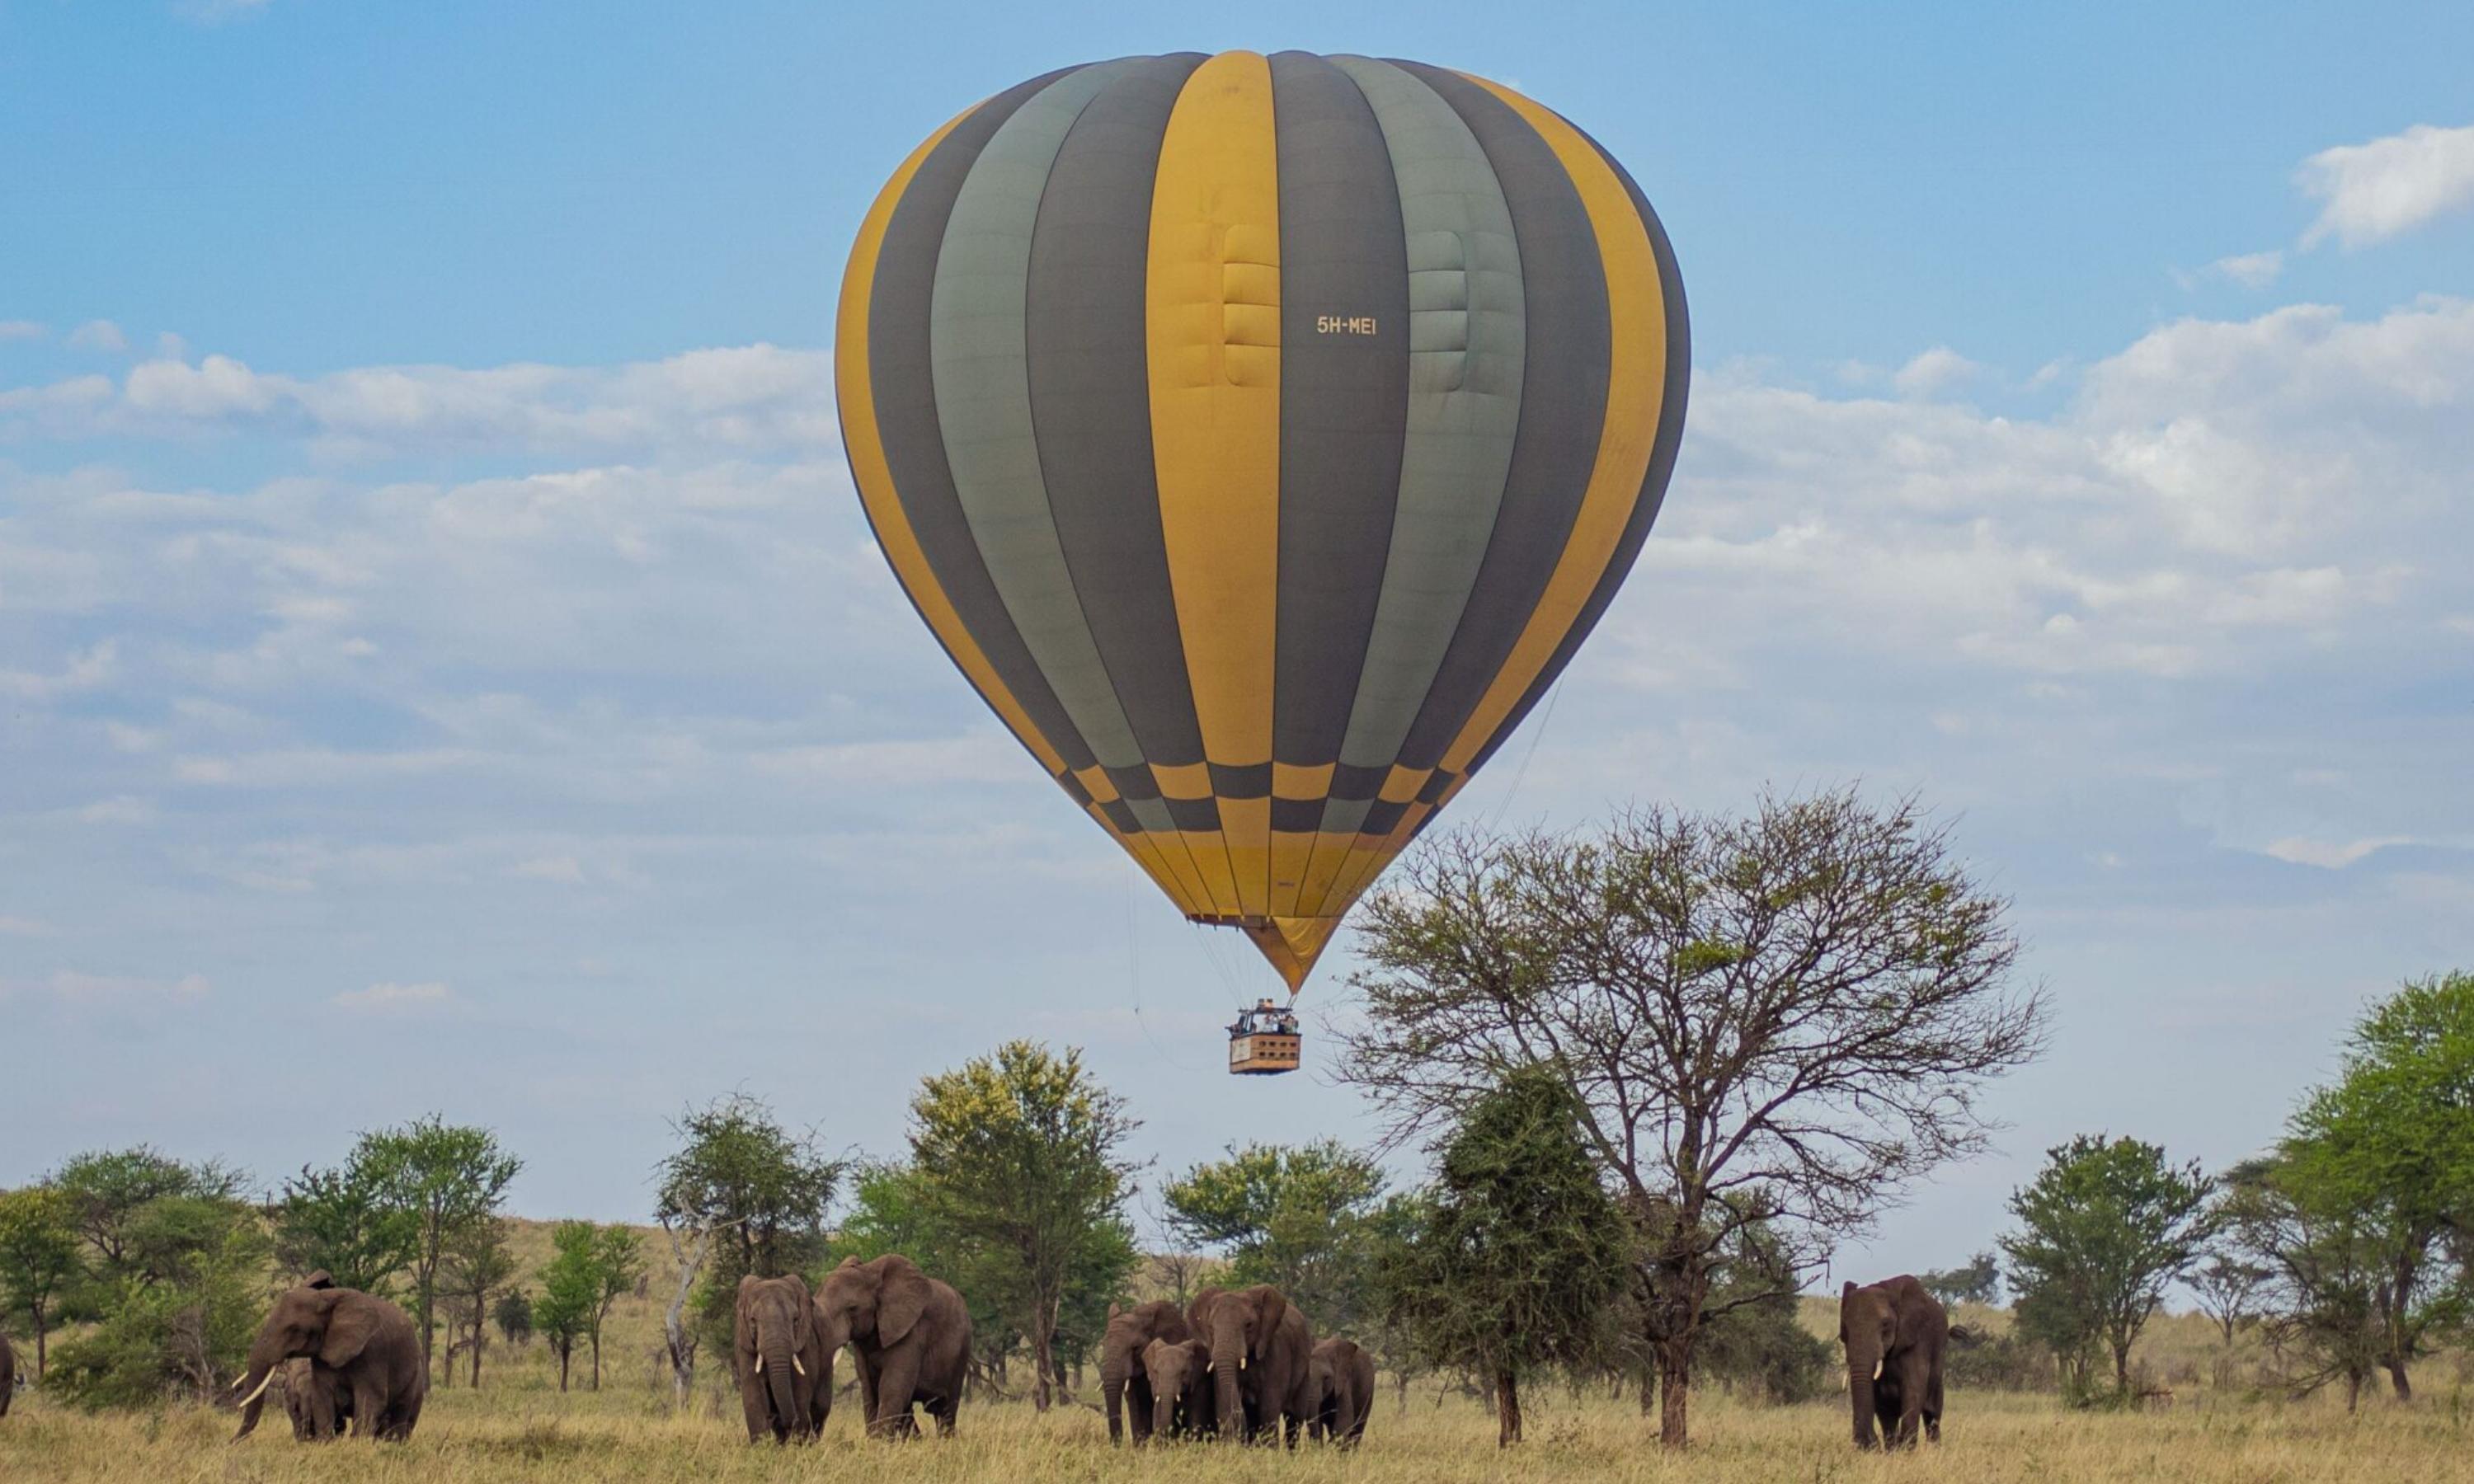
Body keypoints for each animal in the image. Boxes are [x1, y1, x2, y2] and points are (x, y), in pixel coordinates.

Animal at [232, 1273, 424, 1442]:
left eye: (294, 1329)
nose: (230, 1441)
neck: (326, 1300)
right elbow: (322, 1399)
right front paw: (325, 1443)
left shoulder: (373, 1353)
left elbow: (371, 1400)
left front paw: (357, 1444)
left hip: (413, 1371)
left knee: (401, 1414)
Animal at [735, 1273, 828, 1444]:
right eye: (753, 1321)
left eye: (796, 1320)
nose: (773, 1417)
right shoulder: (745, 1345)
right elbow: (754, 1395)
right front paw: (761, 1446)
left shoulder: (806, 1344)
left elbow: (800, 1392)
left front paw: (796, 1445)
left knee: (820, 1407)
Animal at [814, 1253, 971, 1439]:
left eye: (852, 1308)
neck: (869, 1272)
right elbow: (869, 1390)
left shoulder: (910, 1334)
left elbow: (891, 1388)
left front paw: (878, 1442)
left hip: (961, 1351)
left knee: (945, 1409)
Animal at [1188, 1284, 1313, 1447]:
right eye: (1210, 1327)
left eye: (1249, 1325)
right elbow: (1222, 1403)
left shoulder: (1277, 1350)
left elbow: (1269, 1408)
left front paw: (1269, 1450)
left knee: (1294, 1418)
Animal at [1839, 1275, 1951, 1449]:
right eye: (1845, 1327)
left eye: (1885, 1324)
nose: (1870, 1443)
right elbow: (1882, 1405)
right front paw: (1892, 1449)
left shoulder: (1918, 1342)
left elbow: (1913, 1393)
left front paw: (1906, 1450)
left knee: (1933, 1415)